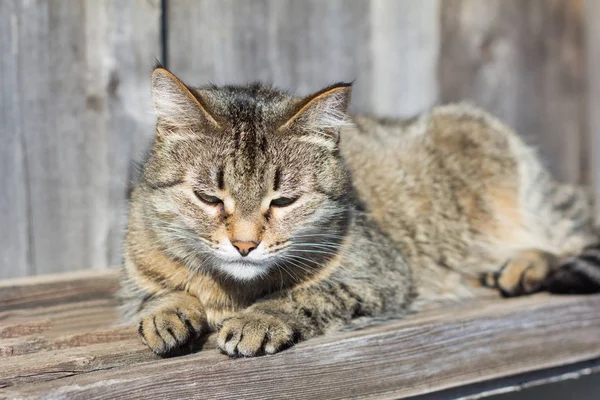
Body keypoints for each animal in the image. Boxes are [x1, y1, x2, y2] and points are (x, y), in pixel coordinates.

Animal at [118, 65, 600, 356]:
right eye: (209, 198)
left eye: (284, 201)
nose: (244, 244)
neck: (231, 291)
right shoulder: (137, 272)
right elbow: (158, 292)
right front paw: (168, 312)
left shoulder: (381, 273)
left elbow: (305, 295)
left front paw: (259, 317)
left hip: (519, 180)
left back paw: (524, 265)